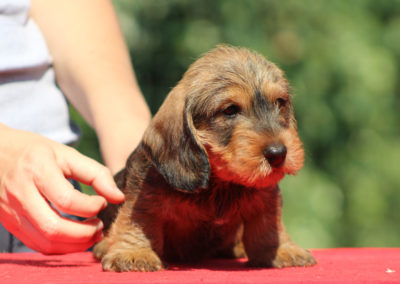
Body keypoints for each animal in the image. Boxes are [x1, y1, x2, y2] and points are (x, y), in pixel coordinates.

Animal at [93, 45, 316, 272]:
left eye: (280, 103)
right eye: (230, 110)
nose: (278, 154)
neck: (220, 184)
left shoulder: (265, 198)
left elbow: (269, 226)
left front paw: (280, 249)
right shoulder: (144, 197)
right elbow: (137, 221)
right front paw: (133, 252)